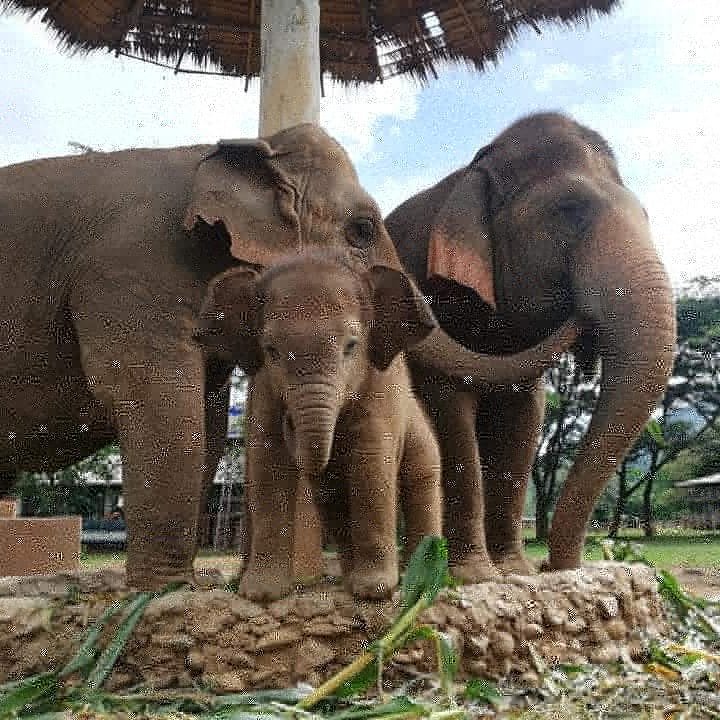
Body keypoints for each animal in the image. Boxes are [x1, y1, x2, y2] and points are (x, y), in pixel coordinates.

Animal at [194, 251, 443, 600]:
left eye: (351, 346)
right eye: (271, 350)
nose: (291, 422)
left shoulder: (381, 389)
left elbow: (371, 462)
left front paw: (374, 591)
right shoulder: (264, 389)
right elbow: (268, 463)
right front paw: (260, 594)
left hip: (422, 435)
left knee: (421, 481)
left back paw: (419, 577)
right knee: (330, 498)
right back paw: (352, 580)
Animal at [386, 112, 676, 577]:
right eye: (569, 211)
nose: (554, 567)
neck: (474, 168)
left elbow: (525, 418)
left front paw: (515, 572)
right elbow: (448, 409)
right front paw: (473, 576)